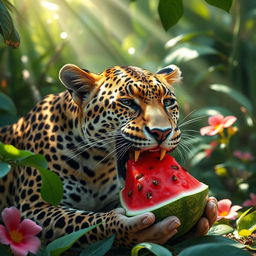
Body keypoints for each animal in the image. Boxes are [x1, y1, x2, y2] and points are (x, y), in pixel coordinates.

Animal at [0, 63, 218, 248]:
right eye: (128, 103)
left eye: (169, 102)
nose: (162, 132)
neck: (96, 165)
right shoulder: (35, 205)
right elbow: (85, 222)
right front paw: (119, 226)